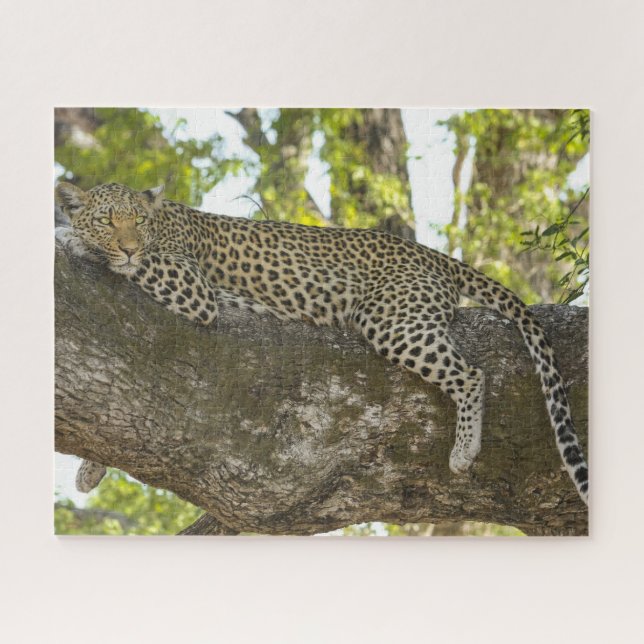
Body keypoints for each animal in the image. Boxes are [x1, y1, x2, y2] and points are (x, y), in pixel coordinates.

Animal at [55, 181, 589, 504]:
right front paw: (90, 469)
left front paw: (70, 239)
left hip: (390, 319)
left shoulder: (193, 287)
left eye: (137, 222)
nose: (127, 245)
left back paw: (463, 451)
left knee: (472, 373)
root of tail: (431, 254)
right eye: (108, 220)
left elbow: (138, 263)